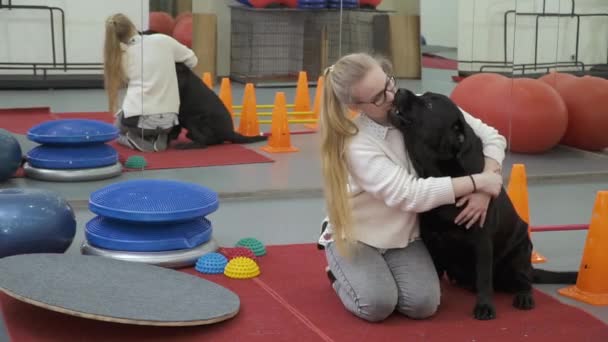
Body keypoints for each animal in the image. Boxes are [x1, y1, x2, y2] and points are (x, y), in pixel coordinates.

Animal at [388, 87, 576, 320]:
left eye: (429, 104)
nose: (400, 89)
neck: (442, 174)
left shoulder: (483, 240)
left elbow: (484, 278)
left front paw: (485, 306)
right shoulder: (431, 236)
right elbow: (436, 273)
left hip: (519, 256)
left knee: (524, 282)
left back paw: (523, 297)